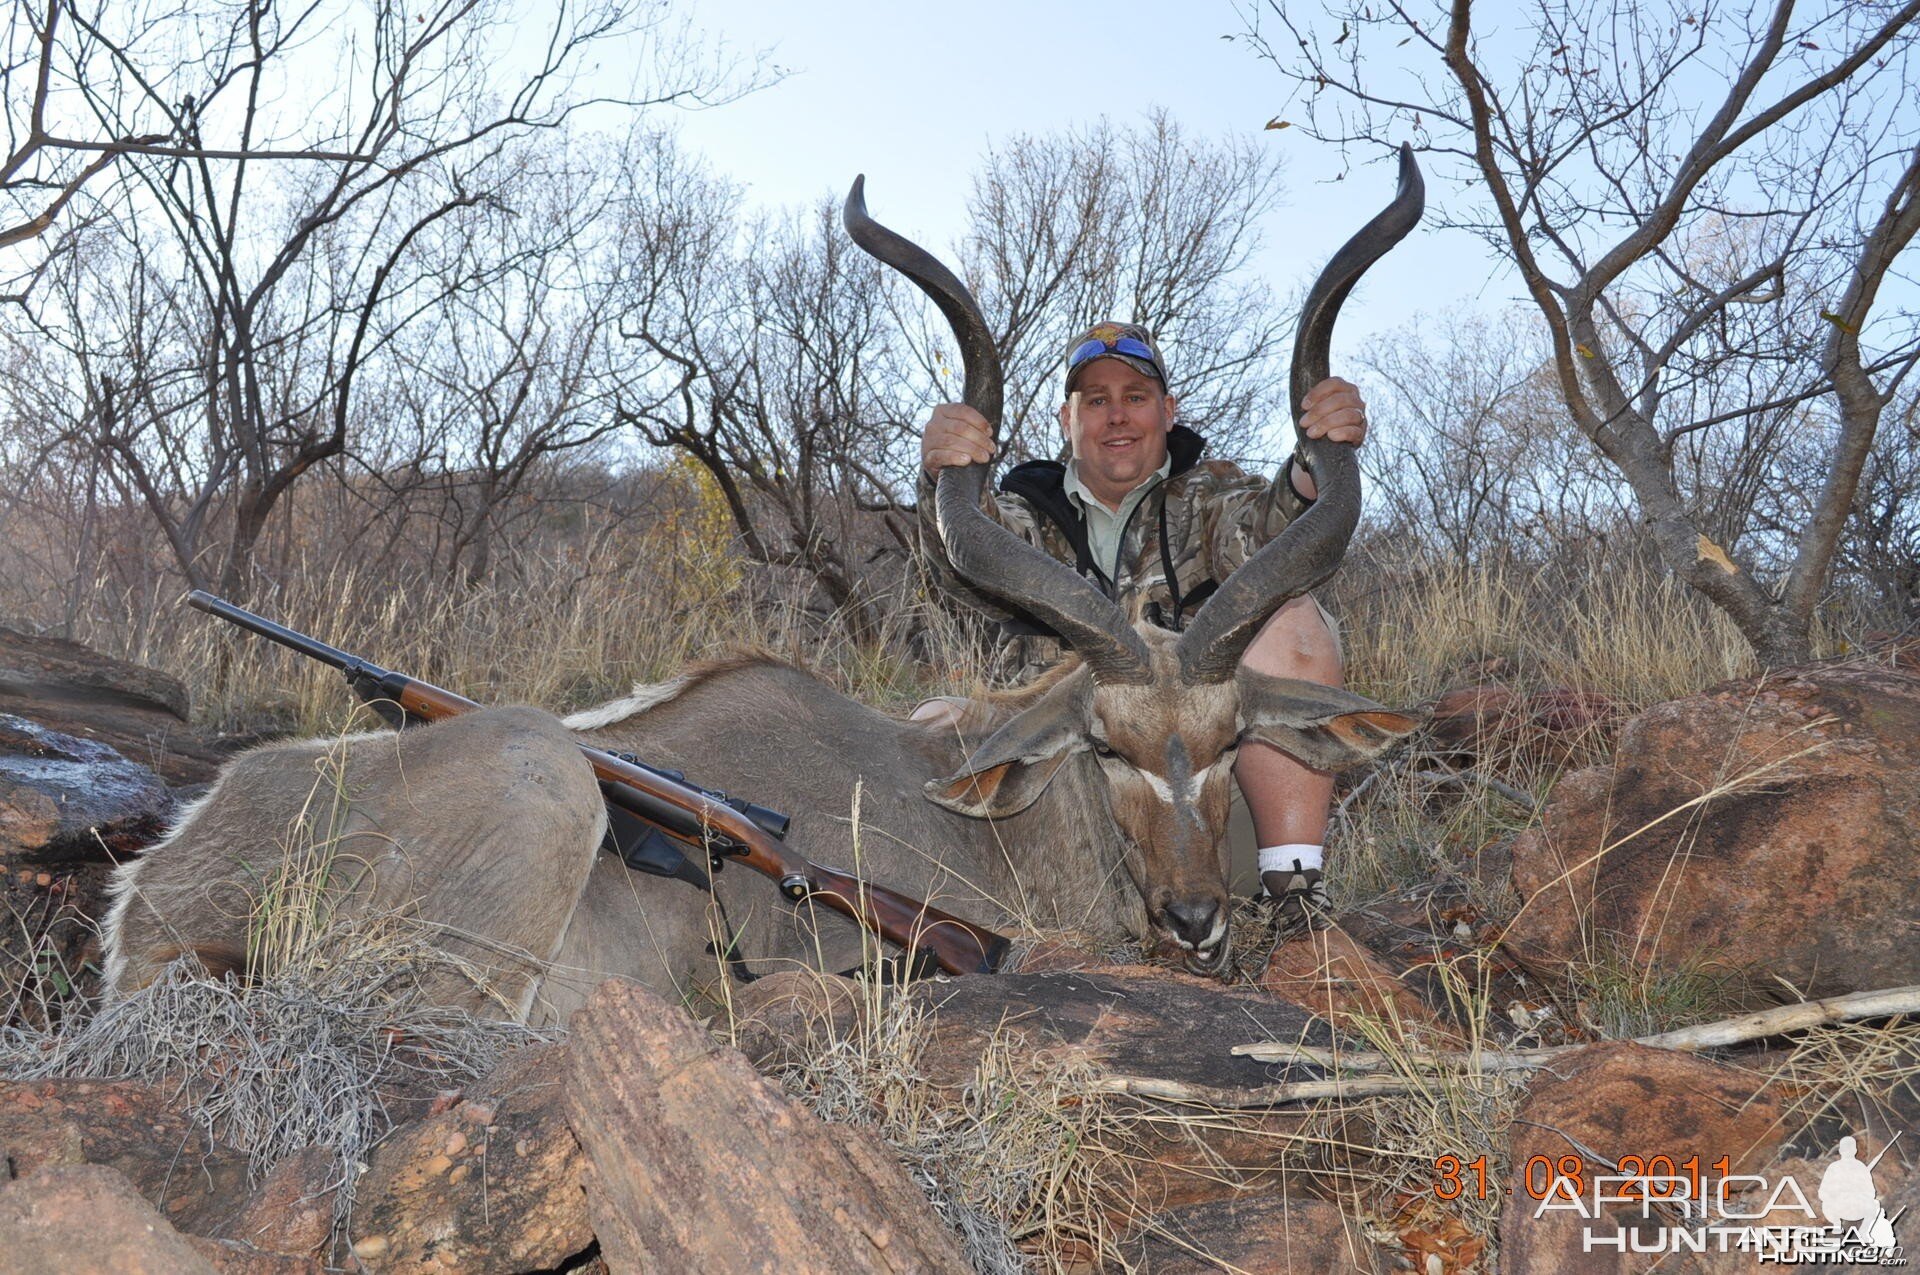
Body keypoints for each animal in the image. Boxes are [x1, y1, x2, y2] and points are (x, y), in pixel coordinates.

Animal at [101, 151, 1428, 1029]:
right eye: (1106, 744)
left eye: (1233, 738)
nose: (1196, 918)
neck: (976, 810)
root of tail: (151, 908)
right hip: (541, 788)